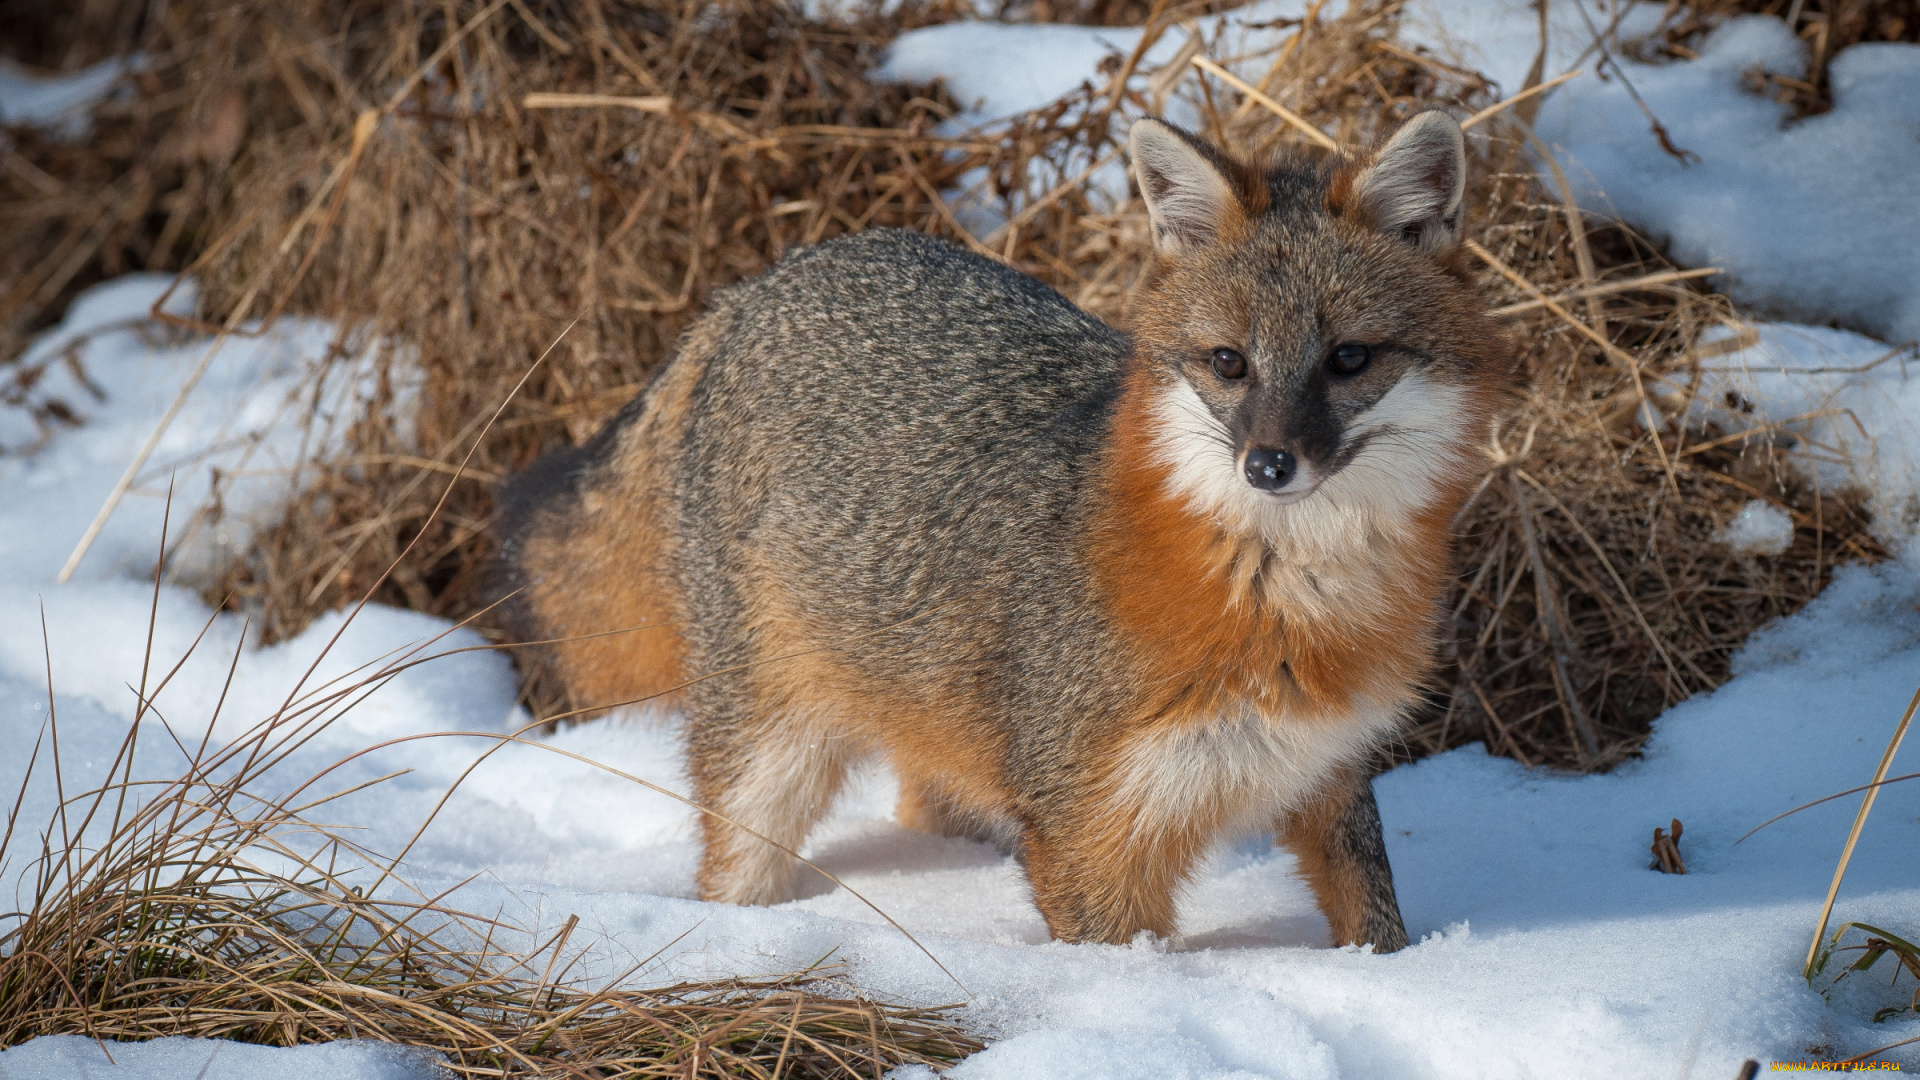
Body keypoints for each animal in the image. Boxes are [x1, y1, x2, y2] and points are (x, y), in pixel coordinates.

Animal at [499, 113, 1512, 945]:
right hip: (768, 756)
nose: (1269, 464)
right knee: (730, 870)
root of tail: (757, 286)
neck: (1285, 602)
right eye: (1229, 363)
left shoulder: (1331, 776)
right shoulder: (1089, 835)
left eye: (1350, 360)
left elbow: (1378, 926)